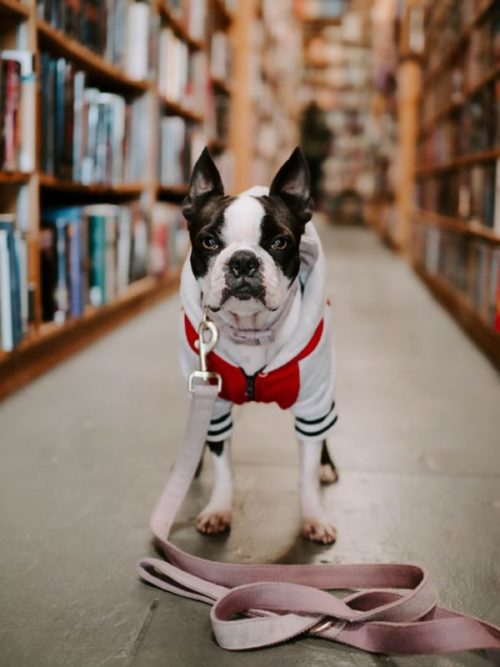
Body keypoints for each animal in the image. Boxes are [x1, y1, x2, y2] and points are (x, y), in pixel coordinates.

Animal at [180, 146, 340, 544]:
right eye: (208, 241)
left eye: (279, 242)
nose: (242, 260)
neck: (251, 330)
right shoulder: (214, 401)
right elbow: (223, 466)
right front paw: (219, 509)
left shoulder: (312, 401)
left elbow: (306, 472)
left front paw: (314, 517)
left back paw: (327, 467)